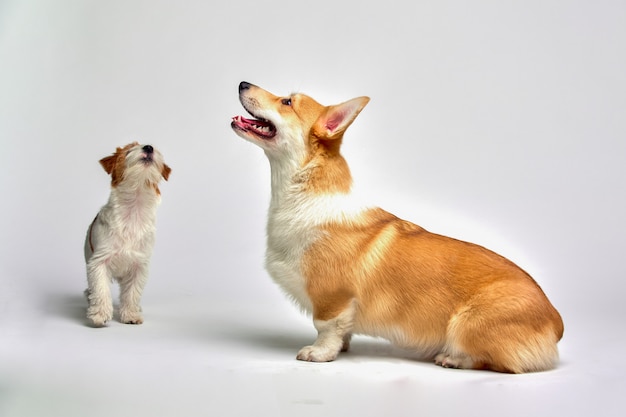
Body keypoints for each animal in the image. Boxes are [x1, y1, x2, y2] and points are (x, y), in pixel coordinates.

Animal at [83, 141, 172, 326]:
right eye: (128, 151)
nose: (148, 147)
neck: (134, 208)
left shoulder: (139, 265)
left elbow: (132, 293)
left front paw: (131, 314)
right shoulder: (99, 262)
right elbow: (100, 289)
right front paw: (100, 314)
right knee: (93, 289)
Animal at [232, 79, 564, 372]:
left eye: (287, 102)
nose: (243, 83)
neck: (301, 190)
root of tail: (555, 319)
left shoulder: (332, 297)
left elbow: (325, 327)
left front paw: (320, 353)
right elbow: (342, 330)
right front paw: (342, 347)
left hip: (468, 323)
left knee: (496, 362)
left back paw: (452, 359)